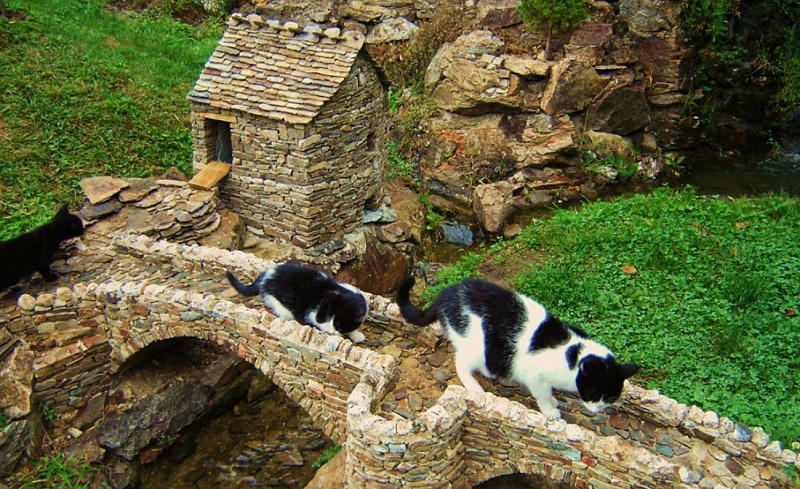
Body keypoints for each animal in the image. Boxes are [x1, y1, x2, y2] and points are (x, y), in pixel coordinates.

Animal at [225, 264, 368, 344]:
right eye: (328, 318)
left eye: (339, 325)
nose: (333, 331)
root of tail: (267, 274)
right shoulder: (312, 313)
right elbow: (319, 323)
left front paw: (356, 335)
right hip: (282, 307)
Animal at [396, 276, 640, 418]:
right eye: (595, 393)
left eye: (610, 398)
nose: (598, 409)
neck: (571, 354)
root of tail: (447, 293)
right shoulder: (535, 376)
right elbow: (542, 394)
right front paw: (550, 410)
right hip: (473, 343)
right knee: (461, 363)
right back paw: (475, 387)